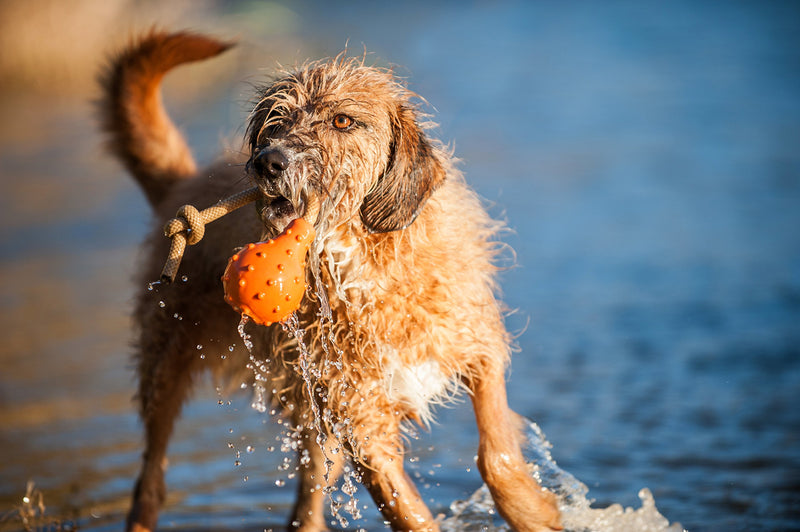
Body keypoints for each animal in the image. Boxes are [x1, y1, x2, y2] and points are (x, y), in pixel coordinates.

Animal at [100, 30, 564, 532]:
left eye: (343, 120)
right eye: (274, 121)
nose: (268, 162)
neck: (362, 262)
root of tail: (183, 183)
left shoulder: (474, 342)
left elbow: (495, 452)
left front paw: (532, 510)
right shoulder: (361, 419)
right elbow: (411, 513)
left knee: (307, 500)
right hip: (167, 365)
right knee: (150, 478)